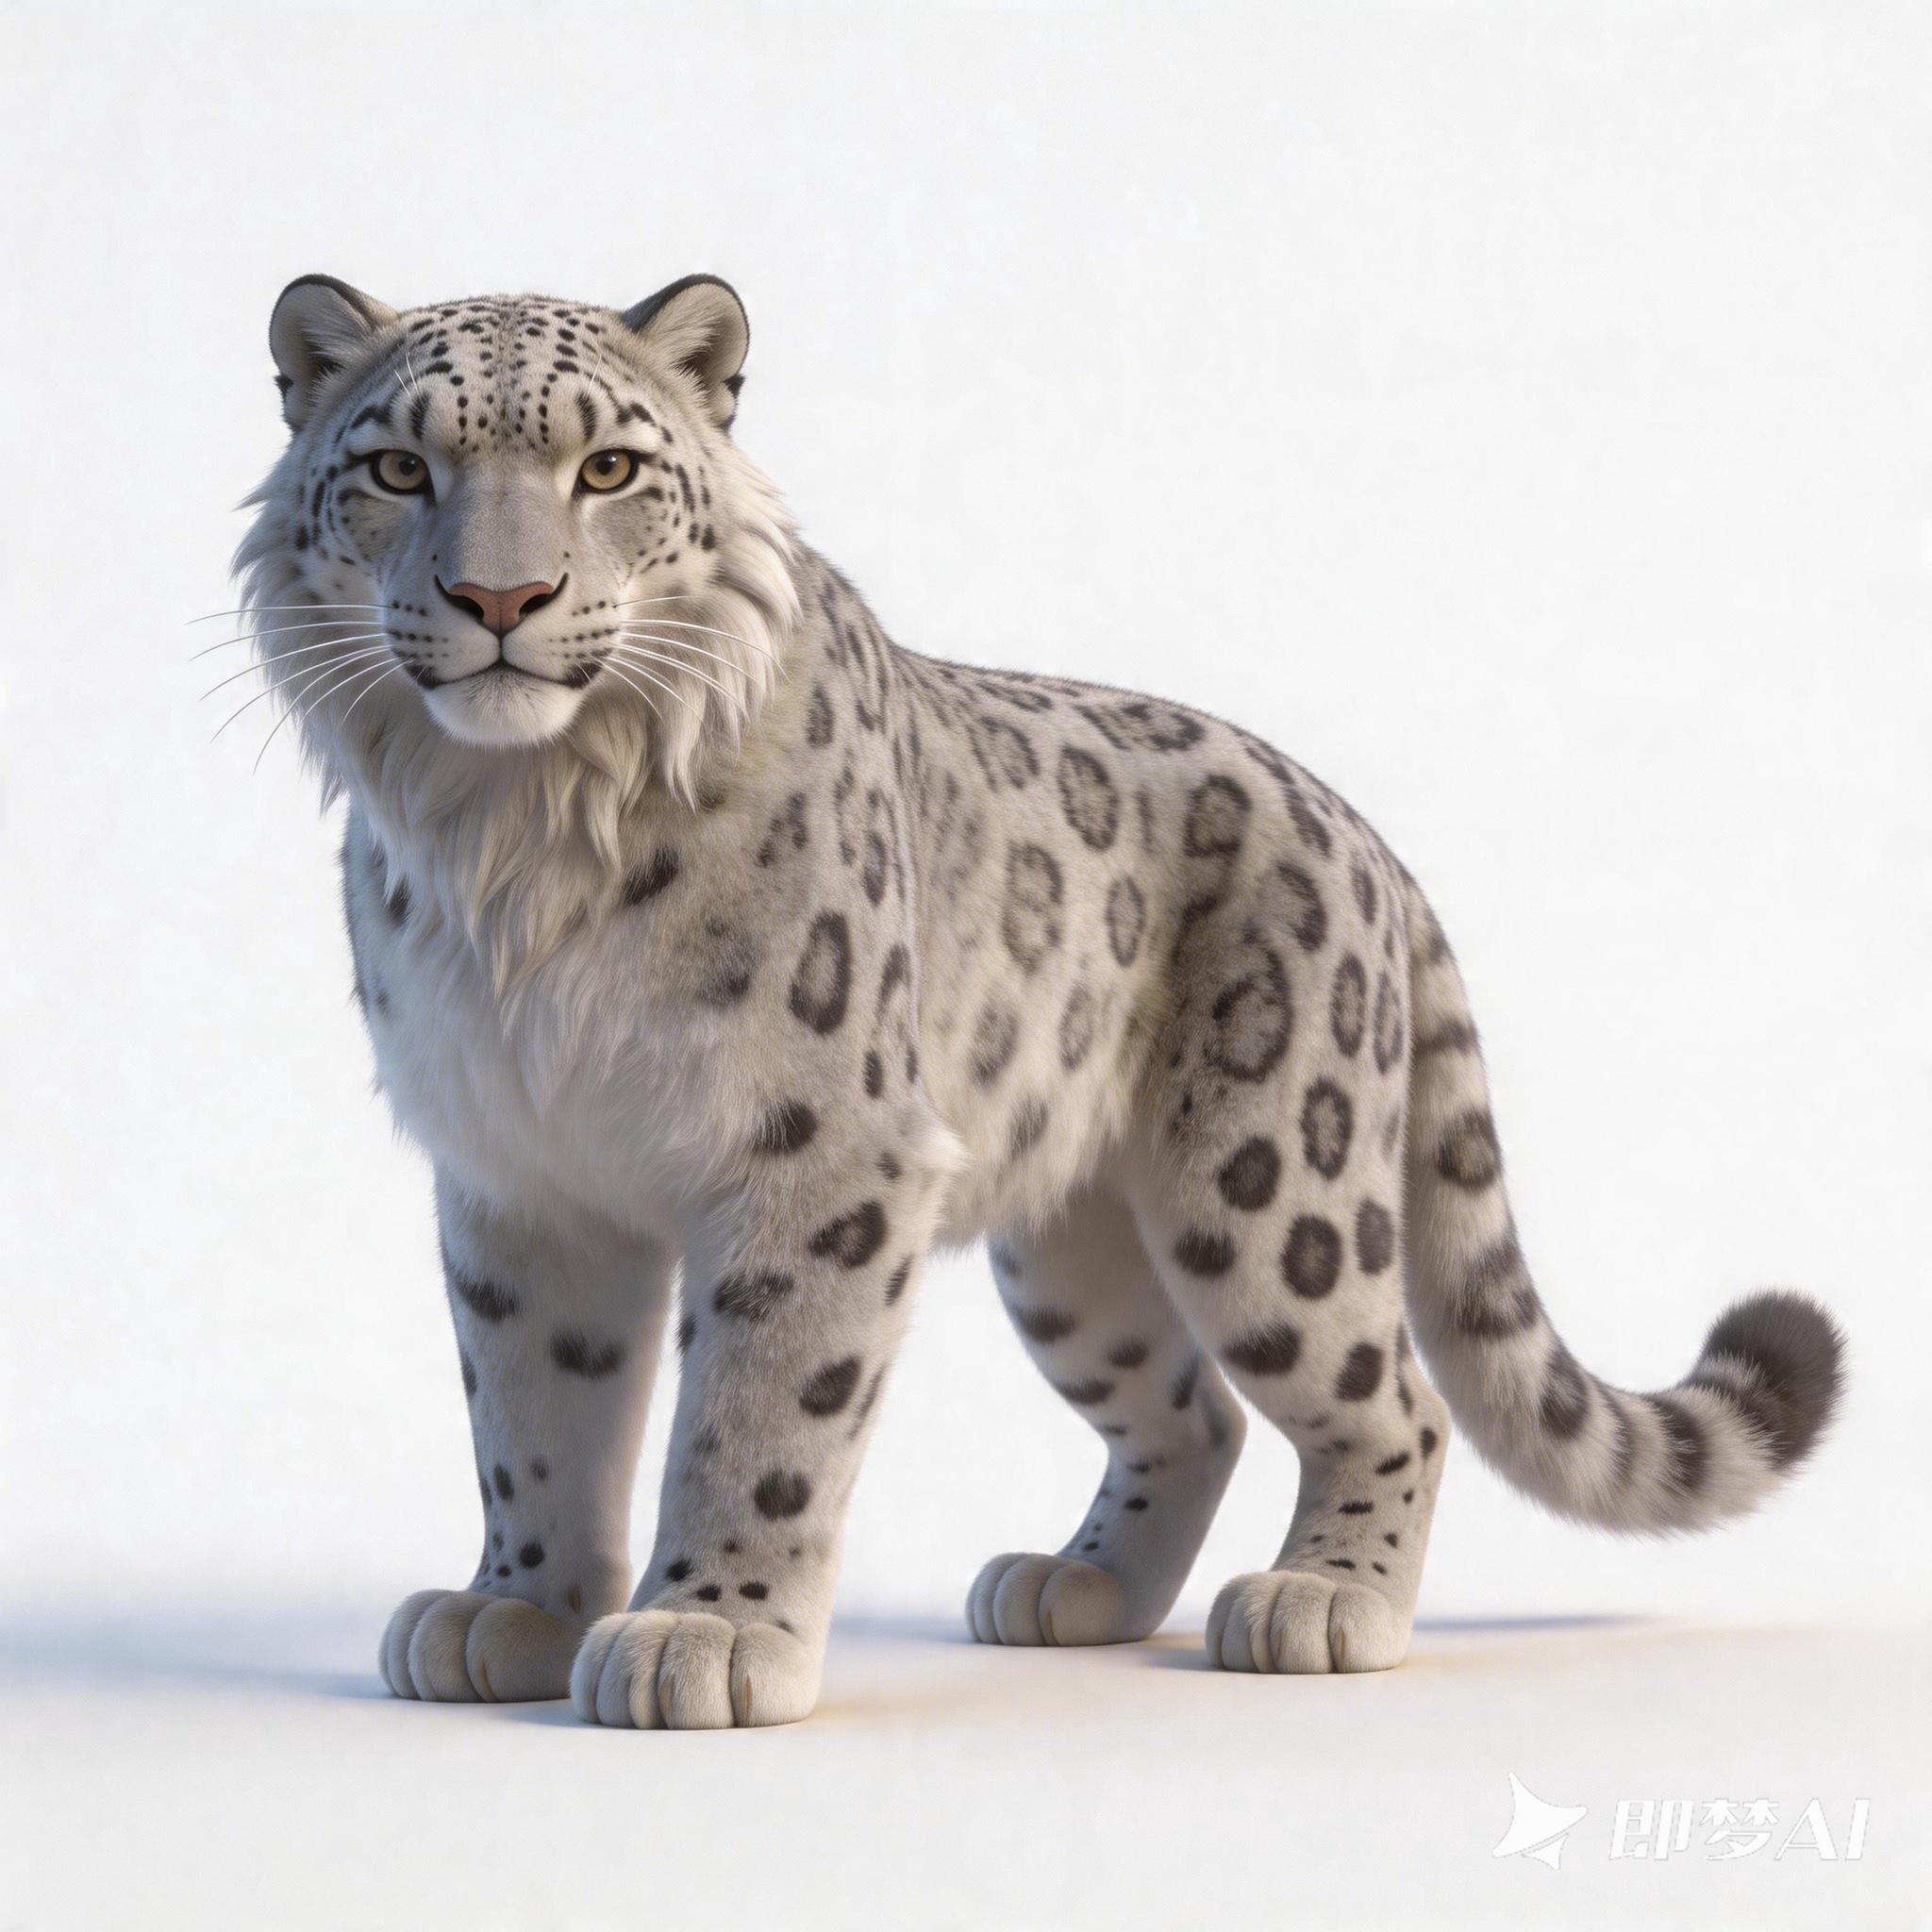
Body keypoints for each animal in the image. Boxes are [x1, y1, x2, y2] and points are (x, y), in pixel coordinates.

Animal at [232, 271, 1844, 1727]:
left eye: (607, 467)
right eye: (397, 467)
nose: (500, 597)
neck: (515, 828)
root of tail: (1362, 832)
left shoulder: (816, 1154)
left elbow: (757, 1411)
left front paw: (707, 1634)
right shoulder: (518, 1170)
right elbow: (536, 1412)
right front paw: (514, 1607)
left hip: (1271, 1188)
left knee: (1396, 1396)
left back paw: (1323, 1601)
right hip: (1074, 1258)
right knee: (1191, 1409)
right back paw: (1075, 1587)